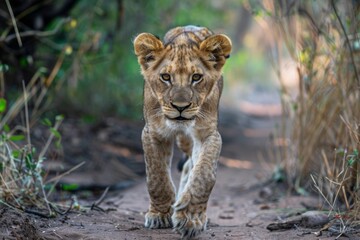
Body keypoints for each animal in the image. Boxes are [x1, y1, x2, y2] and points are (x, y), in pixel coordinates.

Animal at [134, 25, 232, 239]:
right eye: (165, 77)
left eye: (196, 77)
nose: (180, 107)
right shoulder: (153, 132)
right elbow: (157, 177)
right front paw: (159, 215)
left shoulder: (209, 134)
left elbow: (203, 175)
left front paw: (190, 218)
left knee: (190, 165)